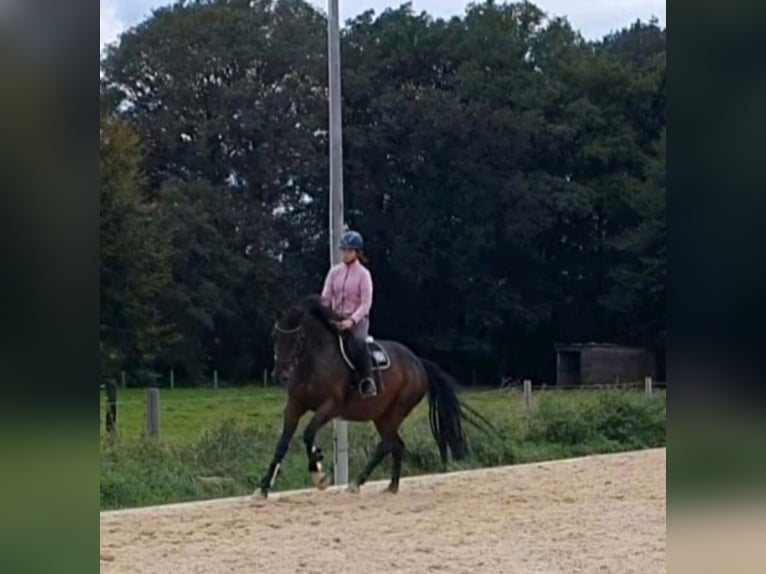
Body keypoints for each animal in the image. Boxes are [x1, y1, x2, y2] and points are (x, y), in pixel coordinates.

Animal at [258, 296, 498, 500]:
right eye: (274, 337)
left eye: (298, 338)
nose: (279, 374)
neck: (314, 361)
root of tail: (418, 362)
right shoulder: (295, 406)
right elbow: (283, 443)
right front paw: (263, 488)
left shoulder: (330, 407)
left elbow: (308, 434)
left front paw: (319, 475)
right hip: (381, 416)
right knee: (396, 445)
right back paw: (391, 486)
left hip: (396, 412)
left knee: (387, 444)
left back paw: (357, 483)